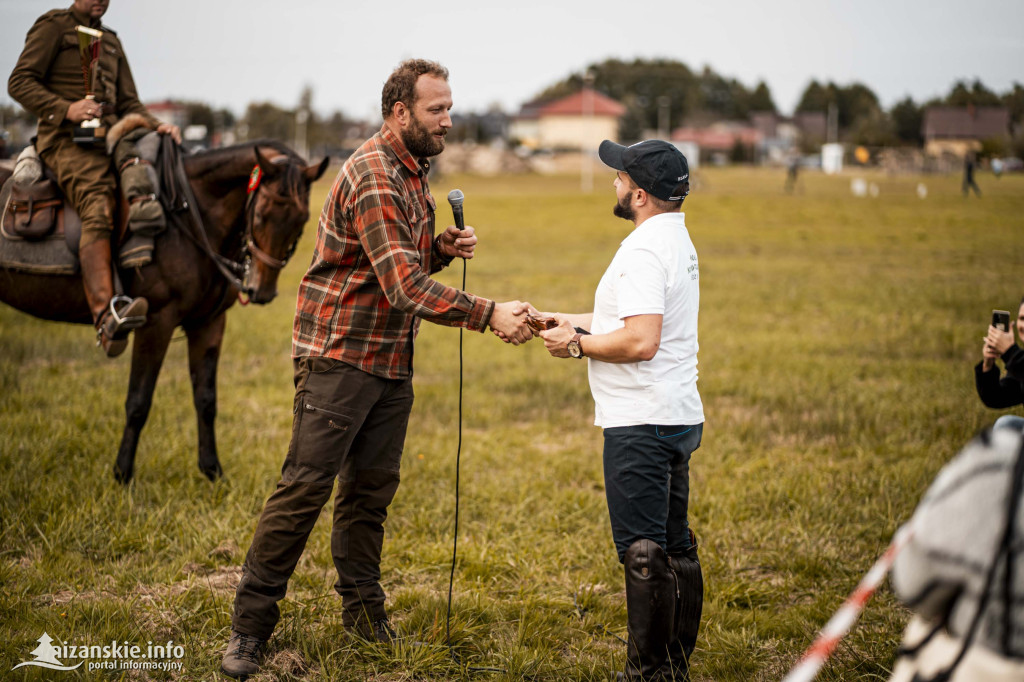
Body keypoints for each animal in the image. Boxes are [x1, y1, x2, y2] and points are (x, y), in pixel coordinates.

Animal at [0, 138, 327, 481]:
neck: (190, 219)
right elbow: (139, 400)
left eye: (302, 220)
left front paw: (212, 471)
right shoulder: (155, 322)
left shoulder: (209, 323)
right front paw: (122, 473)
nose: (261, 290)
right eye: (261, 215)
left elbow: (206, 399)